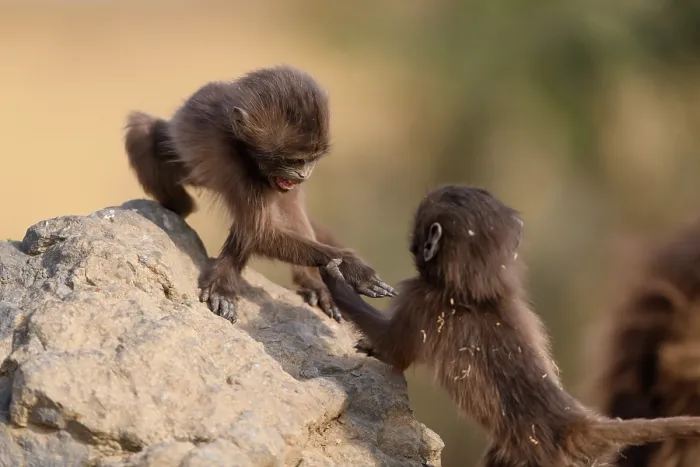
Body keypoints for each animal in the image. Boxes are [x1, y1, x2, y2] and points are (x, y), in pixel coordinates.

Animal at [124, 65, 396, 323]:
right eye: (294, 160)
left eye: (311, 159)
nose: (304, 174)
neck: (244, 148)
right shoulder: (231, 160)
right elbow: (259, 231)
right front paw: (353, 268)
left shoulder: (280, 182)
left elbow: (266, 226)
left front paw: (323, 278)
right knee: (142, 130)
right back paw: (181, 211)